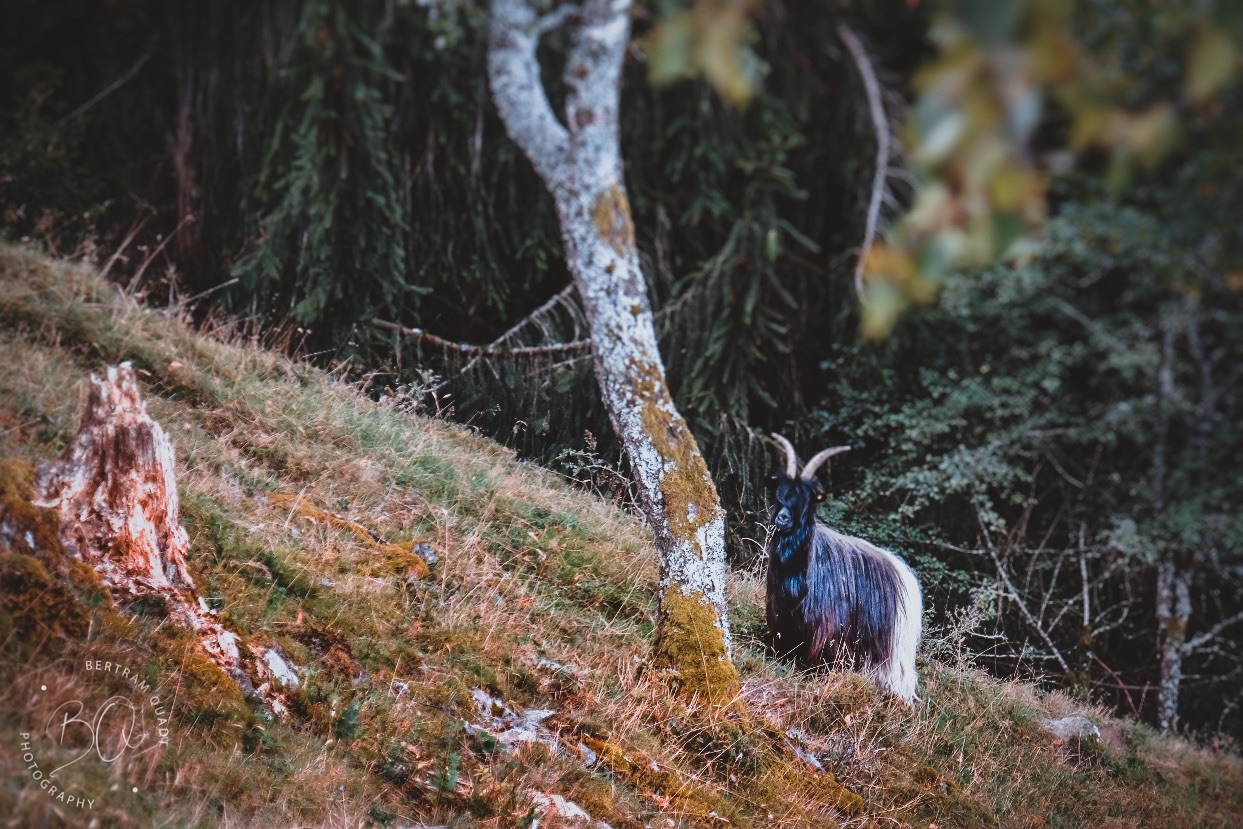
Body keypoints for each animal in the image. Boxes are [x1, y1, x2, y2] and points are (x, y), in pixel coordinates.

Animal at [765, 437, 924, 705]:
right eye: (780, 493)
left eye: (807, 499)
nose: (783, 518)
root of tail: (903, 573)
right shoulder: (782, 616)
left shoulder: (828, 629)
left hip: (895, 647)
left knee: (901, 677)